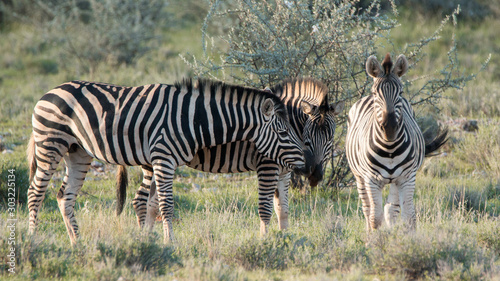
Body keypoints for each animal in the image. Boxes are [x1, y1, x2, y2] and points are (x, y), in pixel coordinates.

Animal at [28, 77, 308, 243]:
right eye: (283, 133)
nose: (304, 163)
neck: (193, 118)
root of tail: (50, 91)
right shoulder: (164, 158)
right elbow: (166, 205)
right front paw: (170, 243)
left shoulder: (164, 161)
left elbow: (157, 205)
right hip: (51, 144)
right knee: (35, 191)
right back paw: (32, 240)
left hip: (78, 151)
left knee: (64, 196)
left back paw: (77, 243)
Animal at [116, 77, 344, 235]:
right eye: (307, 135)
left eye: (331, 137)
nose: (314, 175)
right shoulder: (267, 167)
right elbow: (265, 209)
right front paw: (266, 242)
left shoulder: (284, 172)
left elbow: (283, 210)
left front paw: (286, 239)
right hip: (153, 161)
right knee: (140, 200)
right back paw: (145, 238)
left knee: (150, 203)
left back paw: (149, 236)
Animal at [346, 53, 448, 231]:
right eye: (376, 93)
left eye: (400, 92)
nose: (390, 128)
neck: (389, 148)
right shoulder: (371, 179)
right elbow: (375, 218)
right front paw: (374, 239)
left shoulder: (407, 178)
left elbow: (409, 218)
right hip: (359, 176)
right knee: (367, 209)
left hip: (395, 181)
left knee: (391, 209)